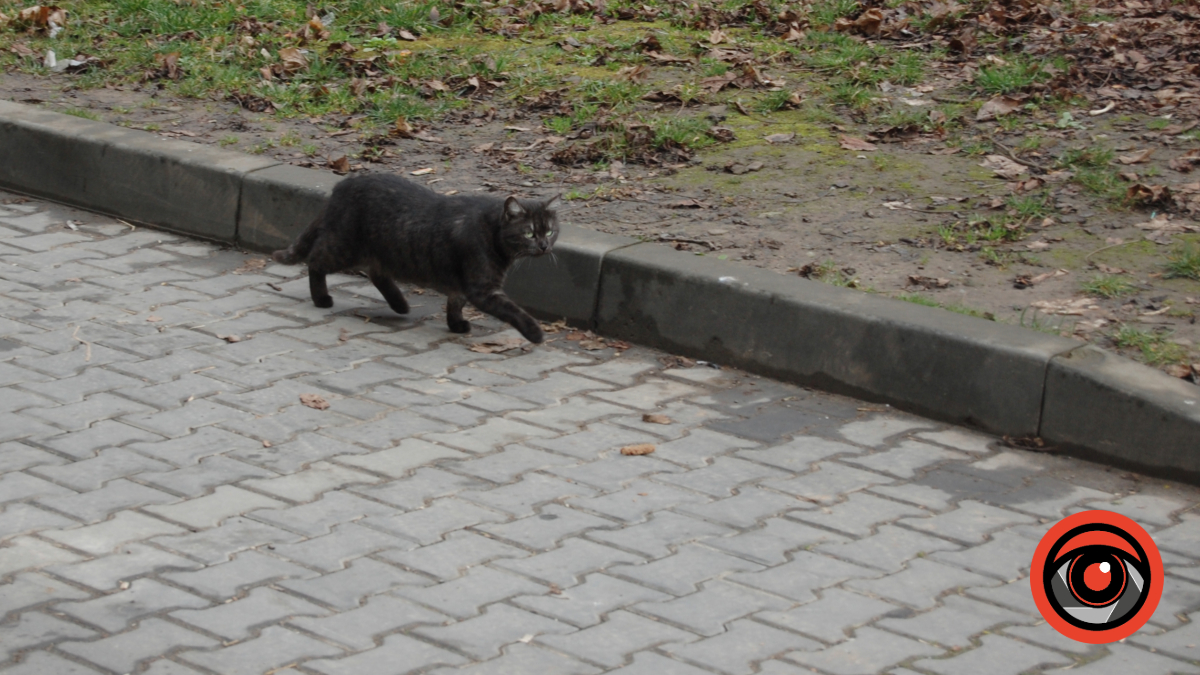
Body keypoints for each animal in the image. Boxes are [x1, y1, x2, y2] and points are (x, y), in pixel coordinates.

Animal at [274, 172, 559, 341]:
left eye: (550, 231)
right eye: (529, 233)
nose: (544, 246)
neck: (491, 230)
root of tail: (340, 185)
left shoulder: (463, 284)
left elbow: (455, 302)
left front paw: (456, 324)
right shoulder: (483, 288)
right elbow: (512, 309)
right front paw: (535, 332)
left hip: (383, 251)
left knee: (376, 273)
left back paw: (400, 304)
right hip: (343, 248)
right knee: (315, 260)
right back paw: (321, 298)